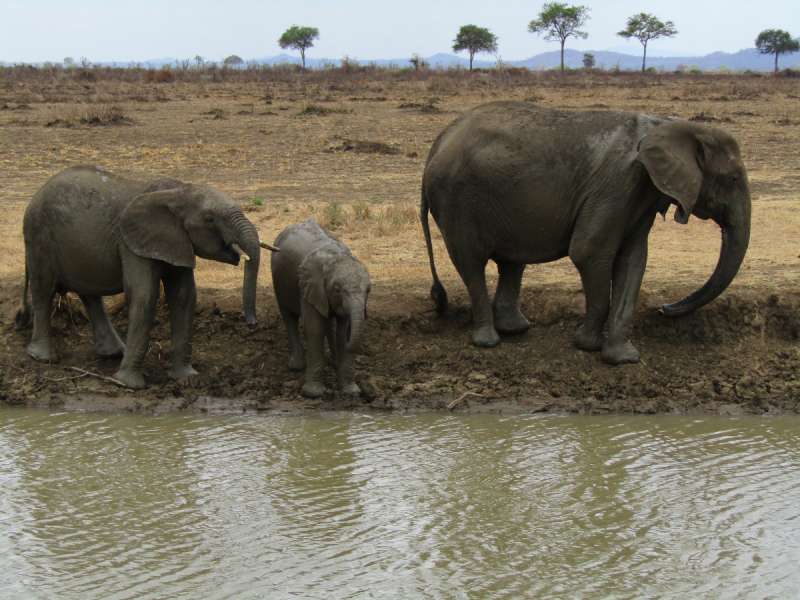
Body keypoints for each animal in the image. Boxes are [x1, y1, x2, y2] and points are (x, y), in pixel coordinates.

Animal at [17, 164, 276, 390]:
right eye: (209, 219)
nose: (252, 323)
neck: (177, 192)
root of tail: (37, 193)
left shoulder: (178, 241)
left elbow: (184, 296)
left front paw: (186, 378)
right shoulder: (132, 243)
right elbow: (145, 296)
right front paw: (129, 384)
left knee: (89, 291)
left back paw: (113, 352)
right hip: (39, 235)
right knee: (44, 290)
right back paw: (42, 357)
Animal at [268, 218, 368, 396]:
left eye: (368, 290)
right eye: (337, 290)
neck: (336, 256)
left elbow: (342, 331)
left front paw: (351, 392)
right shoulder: (309, 285)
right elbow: (315, 329)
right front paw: (313, 394)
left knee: (330, 324)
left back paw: (334, 364)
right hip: (276, 277)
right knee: (289, 317)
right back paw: (296, 366)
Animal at [422, 102, 752, 366]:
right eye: (733, 179)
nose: (664, 309)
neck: (669, 124)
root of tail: (437, 143)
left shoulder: (640, 194)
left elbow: (633, 262)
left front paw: (623, 358)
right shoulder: (618, 185)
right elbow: (588, 251)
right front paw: (589, 345)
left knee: (511, 262)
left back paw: (516, 329)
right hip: (457, 200)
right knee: (472, 263)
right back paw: (488, 341)